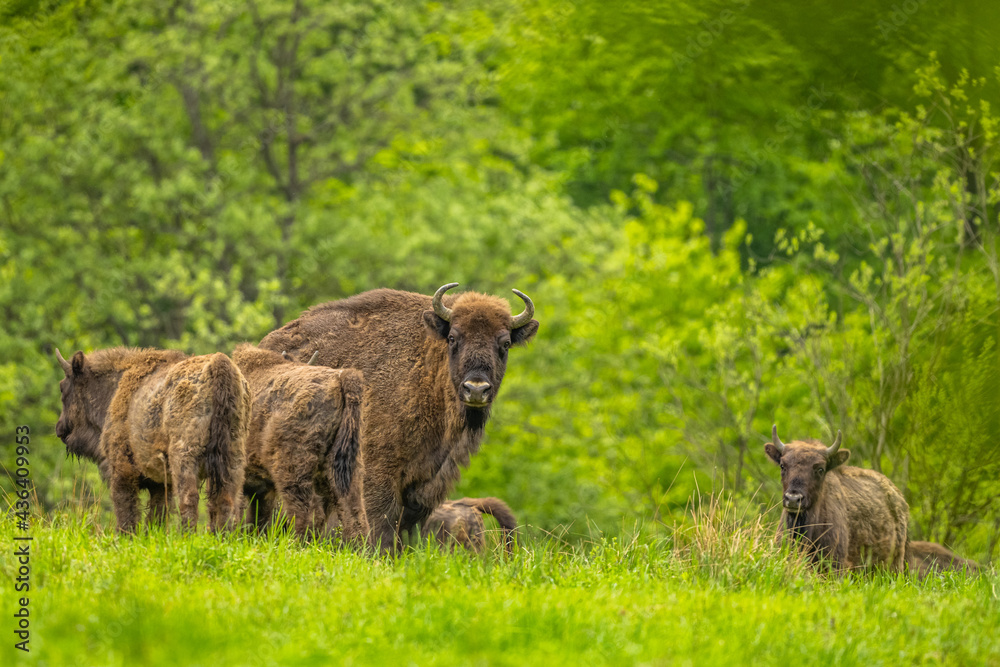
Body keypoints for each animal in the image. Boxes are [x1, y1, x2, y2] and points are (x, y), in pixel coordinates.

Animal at [55, 347, 249, 533]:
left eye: (62, 387)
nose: (59, 428)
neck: (115, 388)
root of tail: (219, 364)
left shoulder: (122, 471)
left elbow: (127, 510)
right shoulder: (160, 483)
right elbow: (158, 513)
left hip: (184, 456)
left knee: (189, 498)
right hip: (234, 458)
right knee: (227, 500)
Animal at [232, 344, 368, 542]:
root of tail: (340, 378)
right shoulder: (261, 489)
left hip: (293, 470)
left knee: (308, 512)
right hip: (347, 468)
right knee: (354, 513)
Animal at [260, 283, 538, 549]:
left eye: (504, 343)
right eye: (452, 338)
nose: (476, 389)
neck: (428, 368)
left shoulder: (424, 484)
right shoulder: (379, 473)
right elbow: (380, 526)